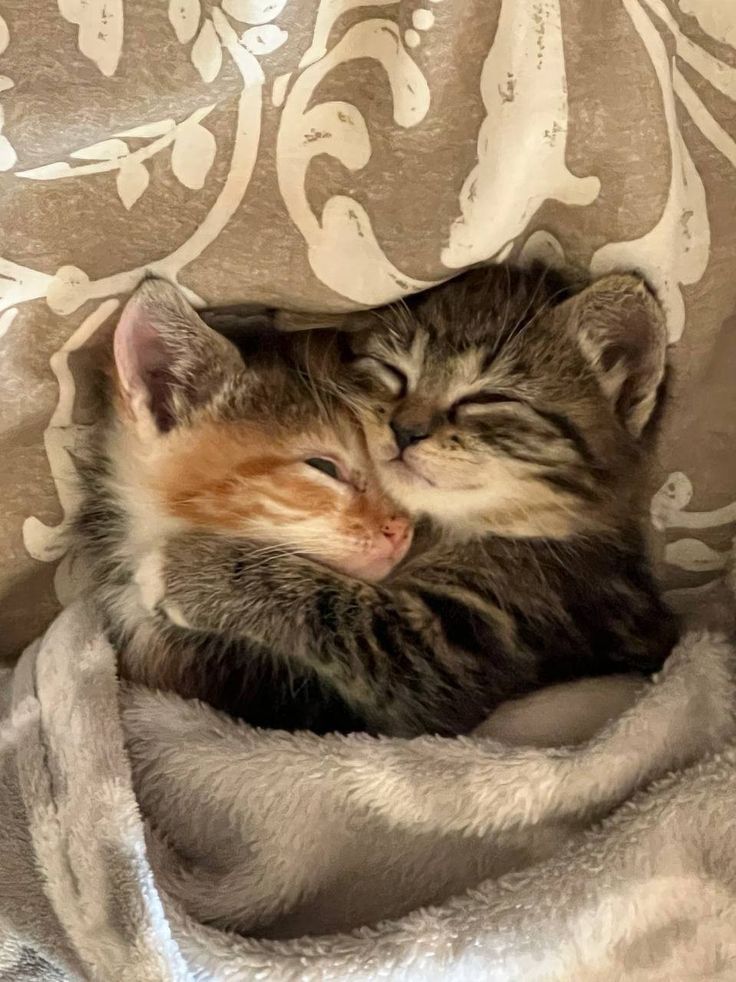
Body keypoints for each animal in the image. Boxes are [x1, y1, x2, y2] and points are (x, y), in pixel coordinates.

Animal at [76, 266, 680, 736]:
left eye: (488, 399)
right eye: (394, 375)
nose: (400, 529)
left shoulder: (468, 645)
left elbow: (337, 610)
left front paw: (187, 571)